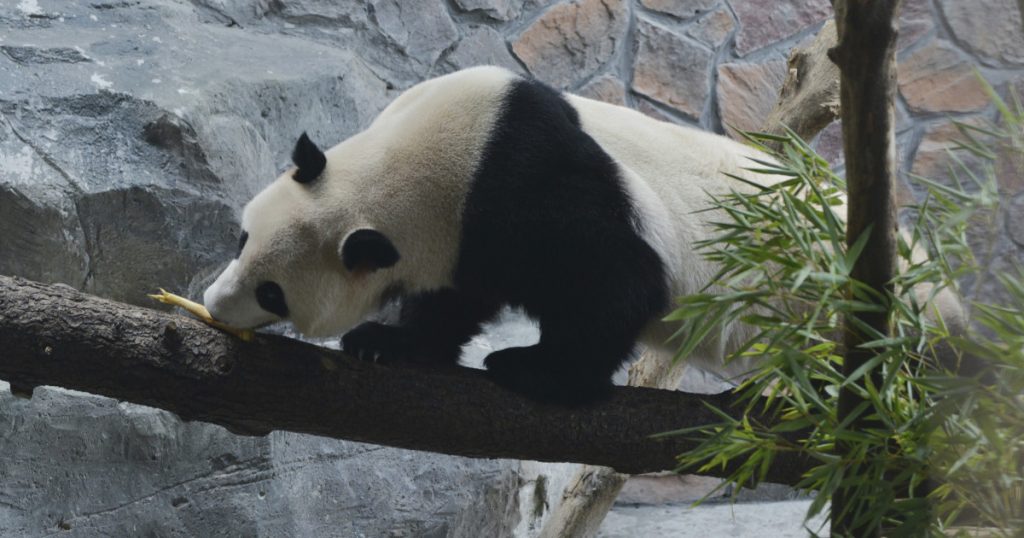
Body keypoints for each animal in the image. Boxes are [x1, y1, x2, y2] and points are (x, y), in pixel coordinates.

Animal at [201, 66, 964, 405]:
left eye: (272, 293)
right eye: (241, 239)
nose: (213, 303)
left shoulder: (530, 185)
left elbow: (616, 285)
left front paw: (532, 368)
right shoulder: (465, 233)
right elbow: (456, 300)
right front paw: (386, 343)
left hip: (854, 307)